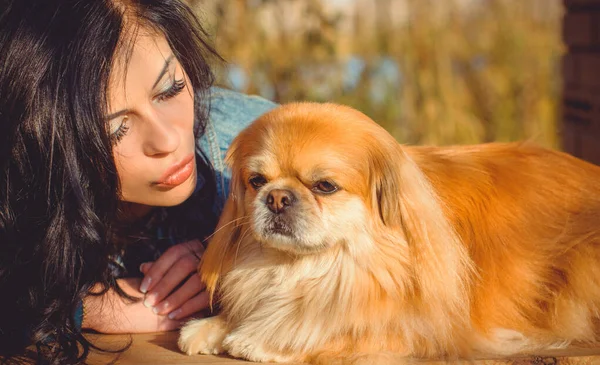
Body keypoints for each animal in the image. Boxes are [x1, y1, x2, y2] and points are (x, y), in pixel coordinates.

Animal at [180, 102, 600, 364]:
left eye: (325, 186)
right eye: (256, 181)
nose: (278, 197)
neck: (317, 266)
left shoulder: (431, 332)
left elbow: (335, 328)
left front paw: (263, 339)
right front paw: (212, 327)